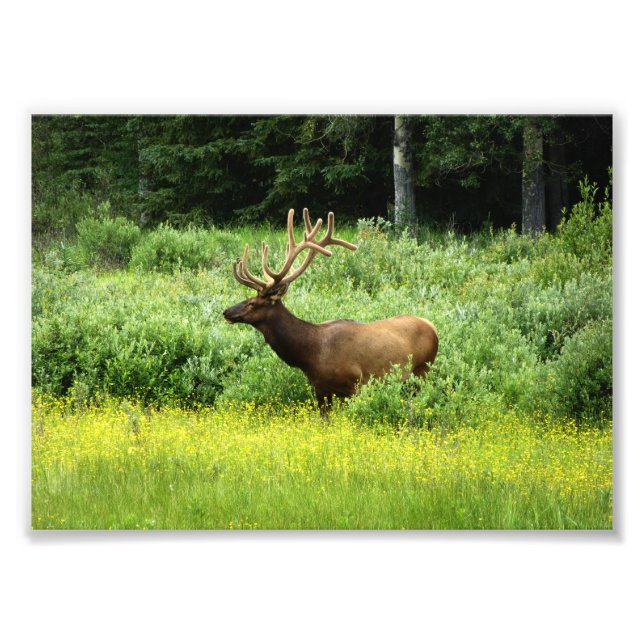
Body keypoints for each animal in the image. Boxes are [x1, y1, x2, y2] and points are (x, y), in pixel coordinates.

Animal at [223, 208, 438, 410]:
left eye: (252, 303)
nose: (226, 312)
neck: (309, 354)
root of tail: (432, 326)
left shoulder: (355, 384)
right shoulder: (320, 390)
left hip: (422, 370)